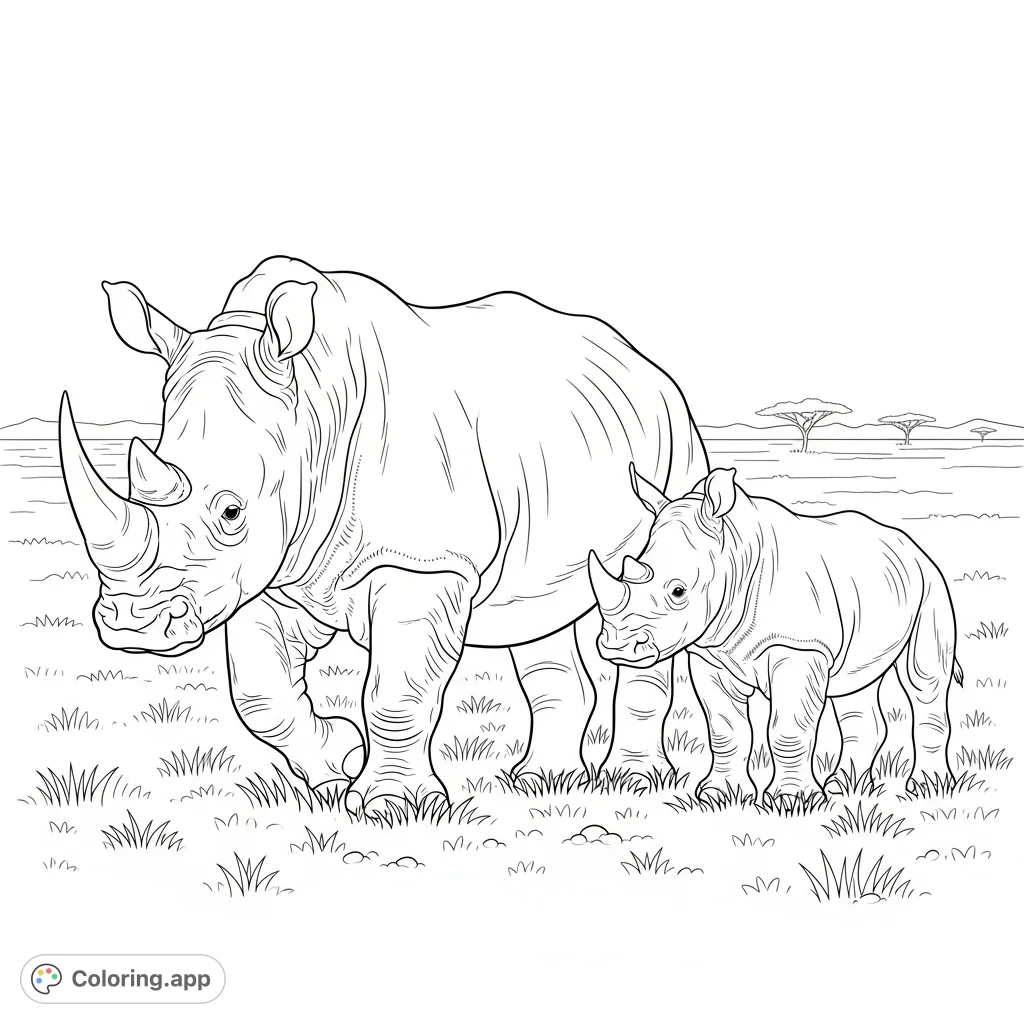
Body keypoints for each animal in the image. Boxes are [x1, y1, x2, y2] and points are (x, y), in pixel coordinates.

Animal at [59, 255, 708, 816]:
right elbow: (259, 693)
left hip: (675, 452)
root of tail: (647, 366)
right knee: (536, 619)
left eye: (231, 513)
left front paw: (393, 807)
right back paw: (541, 783)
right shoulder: (275, 572)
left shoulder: (422, 563)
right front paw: (338, 765)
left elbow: (397, 690)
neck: (313, 406)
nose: (131, 624)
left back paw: (632, 783)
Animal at [588, 466, 963, 801]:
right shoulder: (712, 654)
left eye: (678, 592)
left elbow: (789, 728)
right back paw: (844, 788)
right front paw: (718, 795)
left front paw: (793, 800)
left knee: (924, 681)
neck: (735, 554)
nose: (617, 647)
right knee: (855, 687)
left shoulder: (800, 648)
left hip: (932, 586)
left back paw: (927, 789)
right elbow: (725, 729)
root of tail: (914, 548)